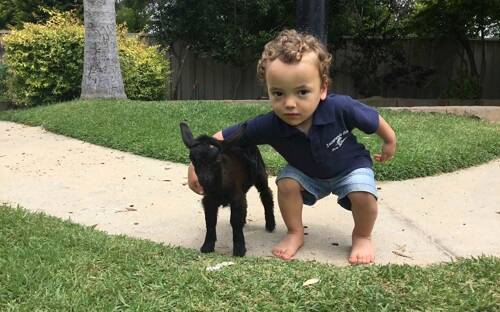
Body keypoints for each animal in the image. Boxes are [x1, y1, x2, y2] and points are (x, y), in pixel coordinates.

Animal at [180, 121, 276, 256]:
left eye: (218, 159)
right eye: (192, 159)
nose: (205, 179)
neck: (218, 189)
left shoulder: (236, 198)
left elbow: (235, 221)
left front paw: (239, 249)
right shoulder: (209, 200)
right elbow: (210, 221)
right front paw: (207, 246)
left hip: (260, 172)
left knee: (266, 193)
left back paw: (270, 224)